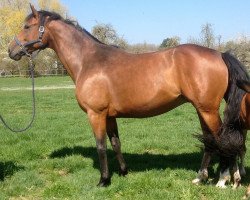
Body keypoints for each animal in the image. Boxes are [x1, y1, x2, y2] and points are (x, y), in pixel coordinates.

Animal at [7, 5, 248, 188]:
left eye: (26, 26)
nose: (11, 50)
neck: (88, 61)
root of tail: (219, 54)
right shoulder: (110, 116)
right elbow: (115, 143)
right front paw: (123, 172)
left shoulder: (96, 114)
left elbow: (101, 146)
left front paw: (104, 180)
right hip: (201, 109)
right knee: (211, 141)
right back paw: (205, 177)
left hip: (207, 109)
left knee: (222, 139)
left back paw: (224, 179)